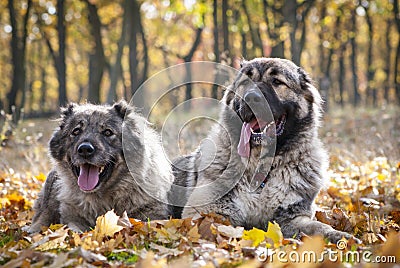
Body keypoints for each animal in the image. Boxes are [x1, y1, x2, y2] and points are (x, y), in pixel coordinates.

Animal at [171, 57, 356, 242]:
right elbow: (225, 227)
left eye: (277, 82)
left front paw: (341, 237)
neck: (260, 167)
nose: (251, 98)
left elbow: (319, 227)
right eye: (245, 82)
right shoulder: (206, 211)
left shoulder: (293, 217)